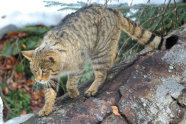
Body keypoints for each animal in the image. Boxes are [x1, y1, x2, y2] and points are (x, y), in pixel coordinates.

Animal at [21, 4, 177, 116]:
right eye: (34, 71)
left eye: (43, 70)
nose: (38, 80)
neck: (61, 68)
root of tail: (112, 10)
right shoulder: (52, 78)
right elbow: (49, 94)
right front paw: (46, 108)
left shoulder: (78, 66)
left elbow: (71, 83)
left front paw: (73, 92)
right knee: (112, 57)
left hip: (98, 53)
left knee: (102, 73)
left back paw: (92, 89)